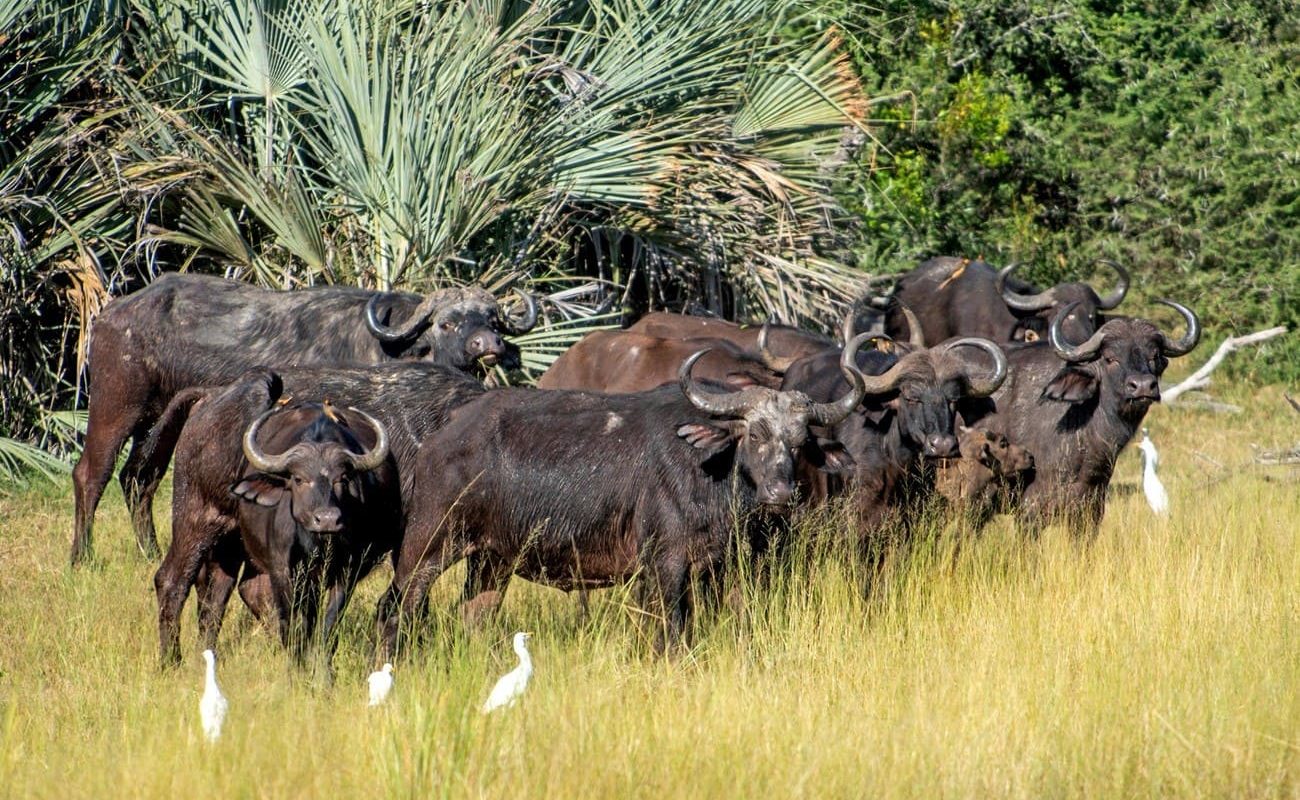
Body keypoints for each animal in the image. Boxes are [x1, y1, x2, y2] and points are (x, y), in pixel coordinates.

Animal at [70, 273, 535, 565]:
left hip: (156, 423)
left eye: (492, 319)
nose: (487, 344)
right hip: (116, 406)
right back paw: (83, 556)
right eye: (447, 323)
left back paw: (148, 550)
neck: (388, 347)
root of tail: (111, 314)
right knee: (92, 473)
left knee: (139, 477)